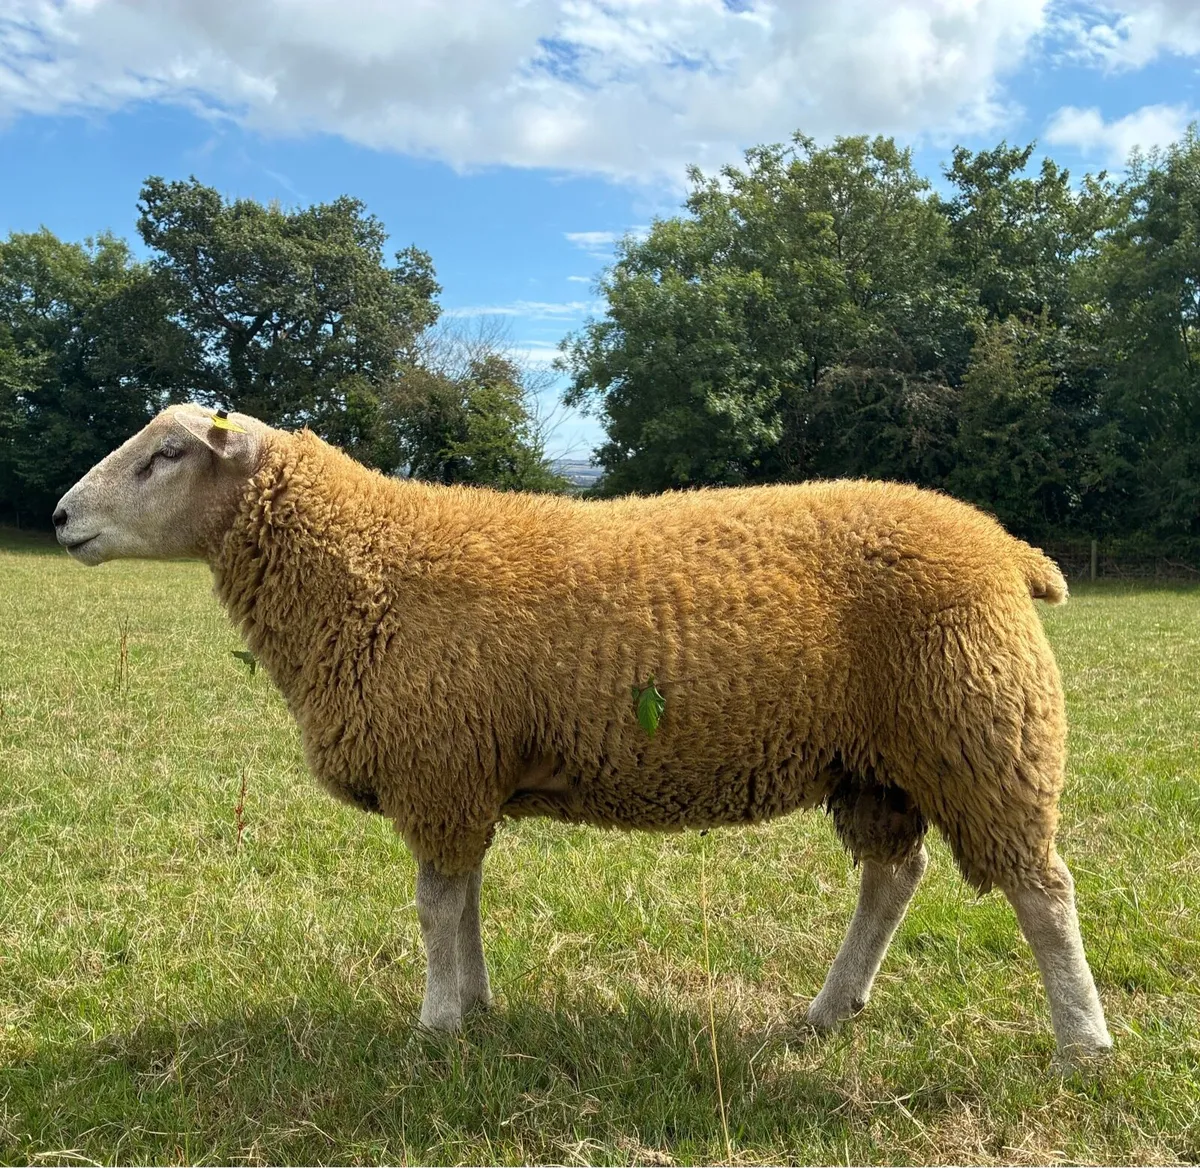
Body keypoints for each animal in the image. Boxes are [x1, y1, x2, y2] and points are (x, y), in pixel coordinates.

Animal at [53, 403, 1113, 1059]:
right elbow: (464, 902)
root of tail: (1007, 549)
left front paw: (434, 1026)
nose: (62, 518)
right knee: (893, 879)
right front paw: (476, 1005)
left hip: (984, 732)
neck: (364, 566)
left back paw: (1083, 1045)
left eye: (169, 454)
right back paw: (827, 1010)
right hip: (878, 764)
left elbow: (433, 908)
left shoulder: (438, 766)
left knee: (1042, 892)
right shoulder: (463, 775)